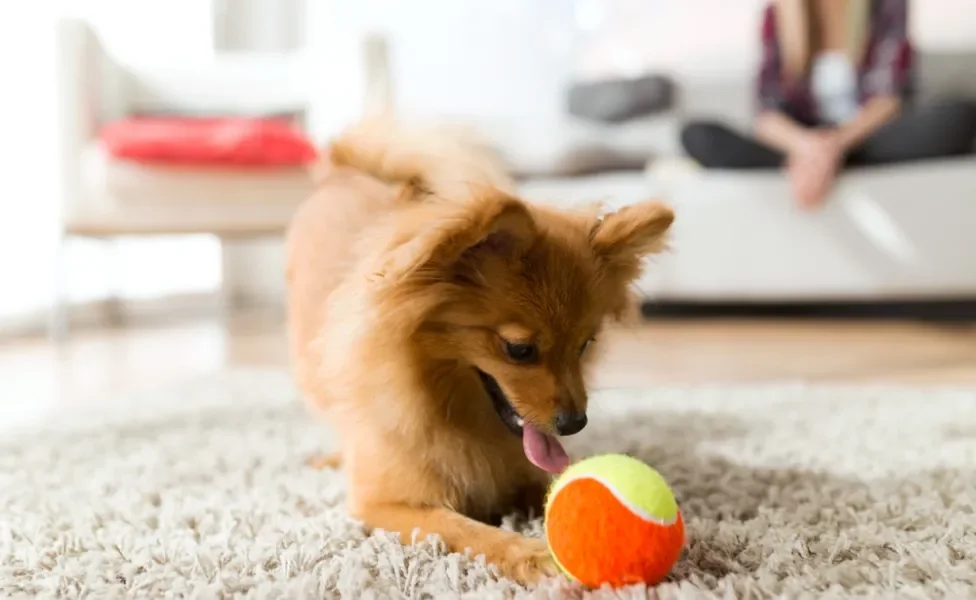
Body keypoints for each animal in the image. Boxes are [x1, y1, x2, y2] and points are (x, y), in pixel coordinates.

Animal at [286, 118, 676, 584]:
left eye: (584, 345)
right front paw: (534, 556)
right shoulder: (386, 505)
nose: (575, 423)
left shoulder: (526, 467)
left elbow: (556, 481)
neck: (460, 415)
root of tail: (343, 167)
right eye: (519, 349)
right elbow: (465, 531)